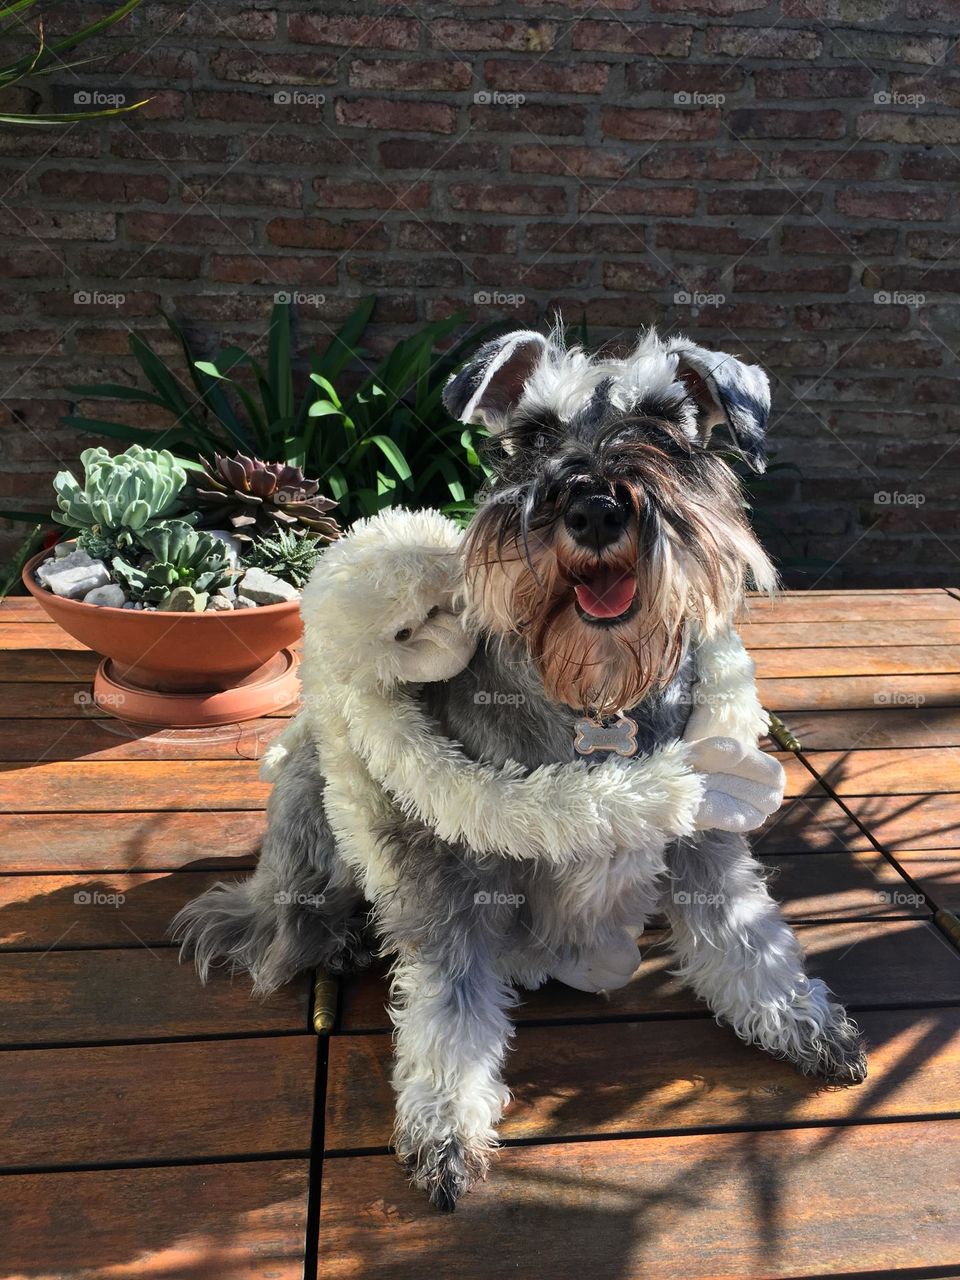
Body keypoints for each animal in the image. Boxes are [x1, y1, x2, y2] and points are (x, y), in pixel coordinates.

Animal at [175, 327, 870, 1208]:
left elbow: (749, 937)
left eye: (665, 422)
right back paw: (329, 938)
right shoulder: (447, 873)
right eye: (534, 434)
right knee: (287, 915)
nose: (595, 507)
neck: (593, 702)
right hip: (309, 797)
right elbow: (449, 1005)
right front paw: (445, 1125)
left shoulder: (705, 834)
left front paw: (800, 1020)